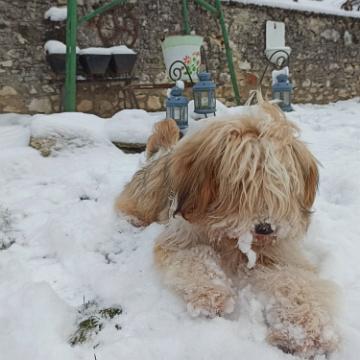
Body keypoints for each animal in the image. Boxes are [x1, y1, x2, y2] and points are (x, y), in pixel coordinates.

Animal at [116, 98, 340, 358]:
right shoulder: (181, 239)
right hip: (146, 197)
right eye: (242, 184)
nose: (265, 228)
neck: (228, 238)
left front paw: (304, 331)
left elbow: (296, 282)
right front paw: (211, 294)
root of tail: (164, 153)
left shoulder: (280, 255)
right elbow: (195, 257)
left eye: (279, 184)